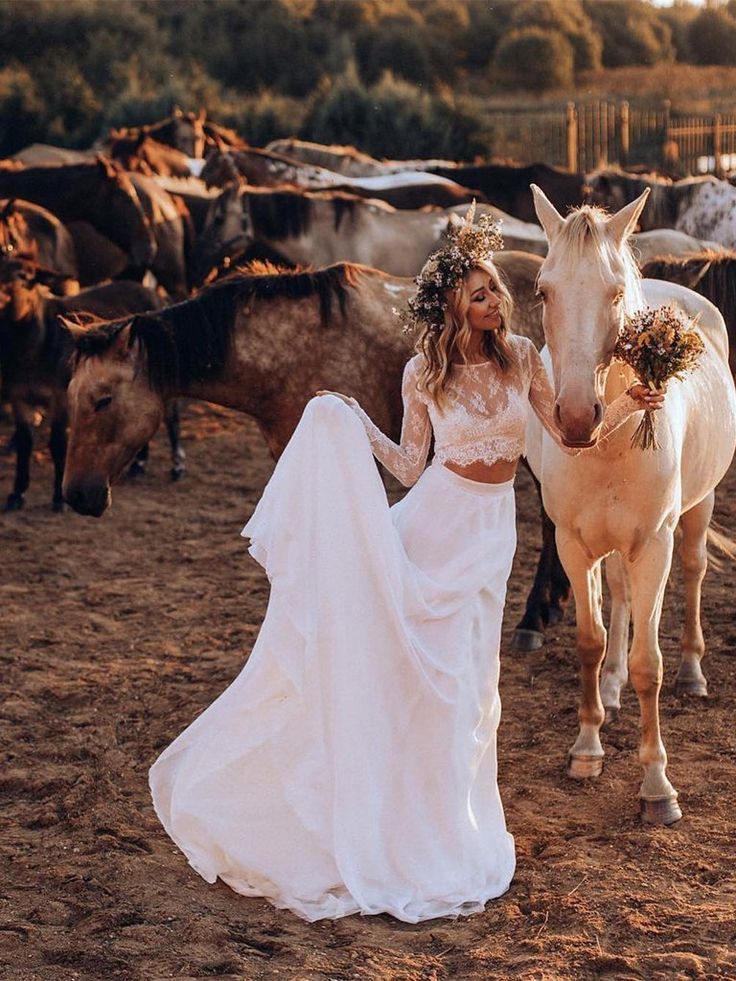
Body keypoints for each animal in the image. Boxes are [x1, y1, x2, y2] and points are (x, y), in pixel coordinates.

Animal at [528, 182, 736, 820]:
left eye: (615, 292)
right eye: (543, 290)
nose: (575, 417)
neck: (611, 442)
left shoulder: (653, 545)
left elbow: (651, 664)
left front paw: (657, 785)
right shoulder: (574, 544)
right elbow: (591, 642)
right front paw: (587, 748)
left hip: (695, 513)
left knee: (693, 573)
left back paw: (694, 672)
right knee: (618, 598)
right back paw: (613, 687)